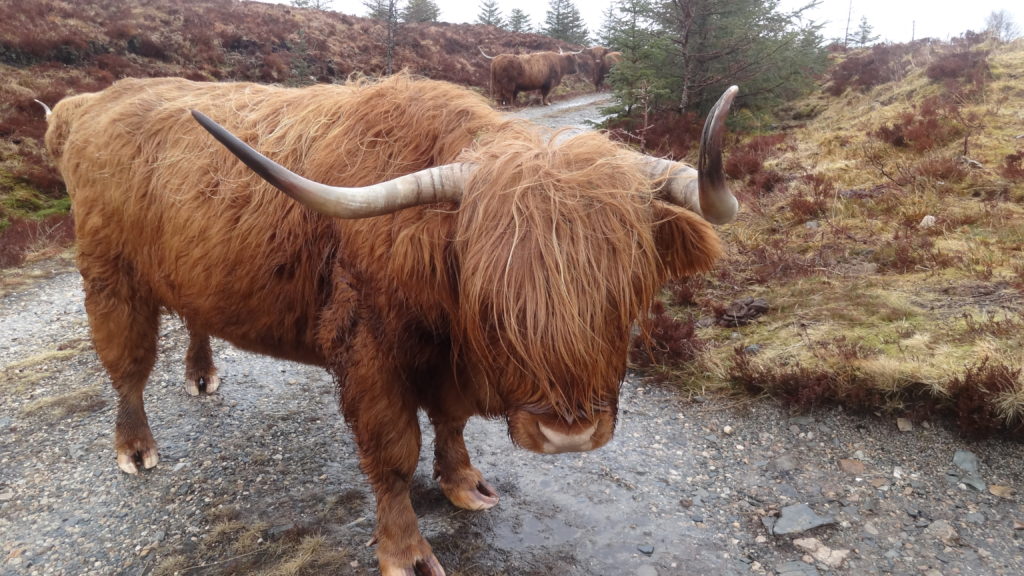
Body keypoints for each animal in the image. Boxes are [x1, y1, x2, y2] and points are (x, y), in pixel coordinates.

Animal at [44, 73, 741, 569]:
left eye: (628, 289)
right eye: (493, 298)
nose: (567, 434)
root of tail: (95, 102)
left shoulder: (446, 359)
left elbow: (452, 422)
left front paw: (464, 484)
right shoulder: (369, 350)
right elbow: (394, 452)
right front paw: (406, 552)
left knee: (193, 316)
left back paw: (201, 374)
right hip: (110, 275)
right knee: (127, 364)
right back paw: (136, 446)